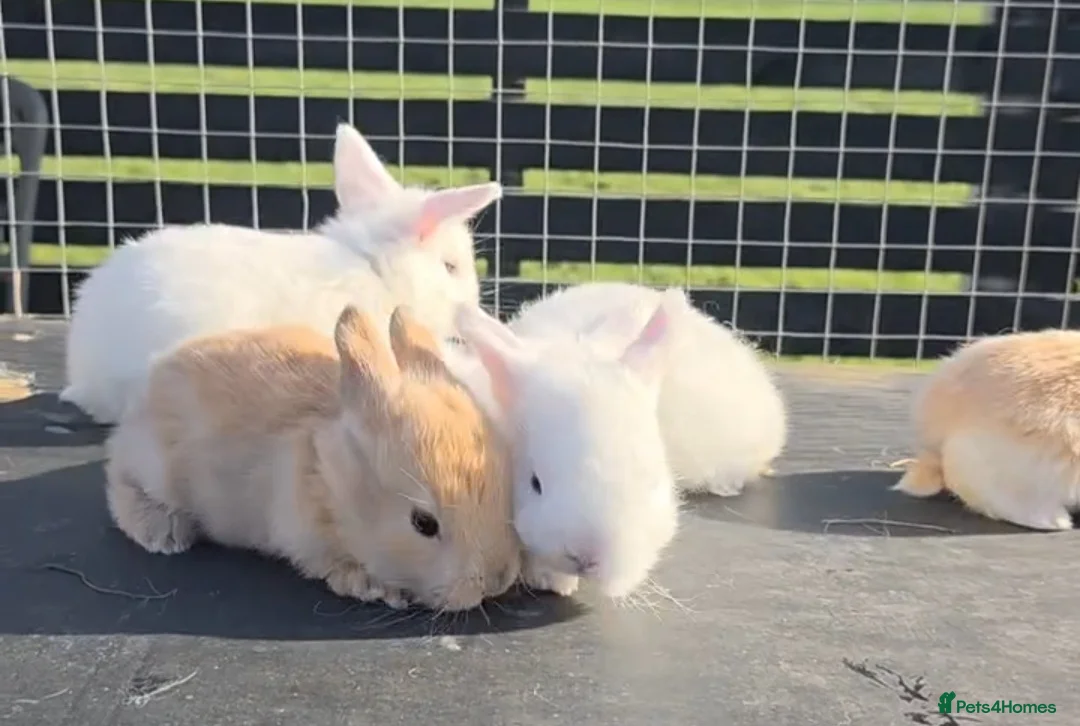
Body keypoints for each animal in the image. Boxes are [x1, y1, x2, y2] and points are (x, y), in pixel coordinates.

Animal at [104, 304, 522, 612]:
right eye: (423, 523)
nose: (497, 579)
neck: (332, 480)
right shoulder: (302, 533)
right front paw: (374, 587)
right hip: (154, 467)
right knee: (118, 483)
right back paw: (164, 532)